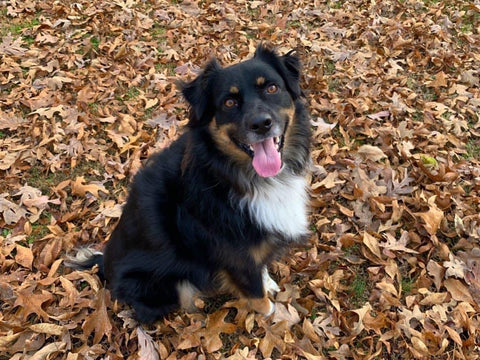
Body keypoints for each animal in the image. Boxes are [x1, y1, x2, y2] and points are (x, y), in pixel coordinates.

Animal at [67, 44, 314, 324]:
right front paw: (269, 314)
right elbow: (255, 293)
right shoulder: (236, 258)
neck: (232, 177)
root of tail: (104, 265)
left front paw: (268, 282)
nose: (261, 124)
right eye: (229, 102)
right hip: (166, 285)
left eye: (272, 88)